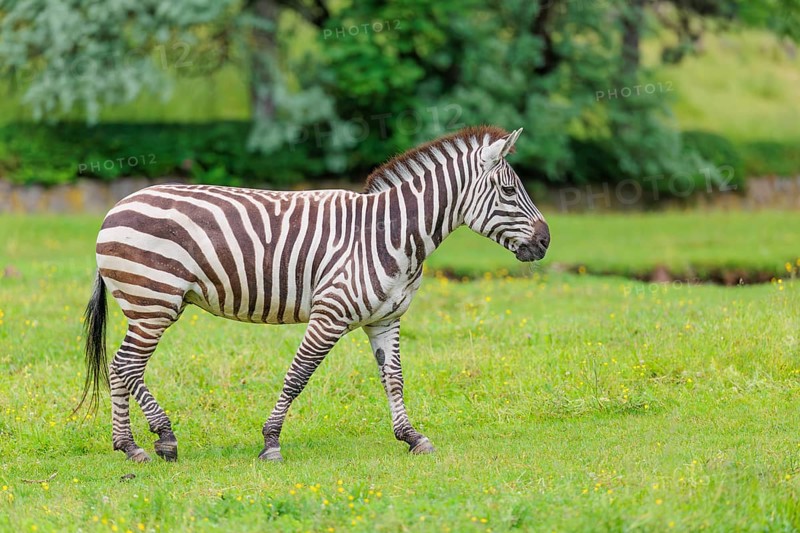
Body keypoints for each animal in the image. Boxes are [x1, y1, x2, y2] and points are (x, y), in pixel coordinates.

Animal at [77, 125, 550, 462]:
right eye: (510, 190)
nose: (546, 242)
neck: (391, 234)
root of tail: (115, 208)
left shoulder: (385, 319)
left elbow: (393, 379)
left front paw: (412, 436)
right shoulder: (330, 314)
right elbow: (298, 376)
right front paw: (271, 442)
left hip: (149, 306)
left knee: (121, 368)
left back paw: (131, 446)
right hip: (154, 302)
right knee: (125, 367)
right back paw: (159, 439)